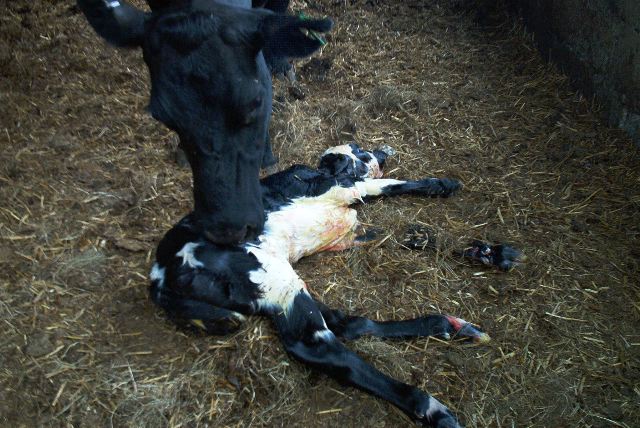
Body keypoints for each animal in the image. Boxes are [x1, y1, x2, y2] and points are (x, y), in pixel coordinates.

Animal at [148, 143, 519, 427]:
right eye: (360, 149)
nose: (383, 149)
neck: (322, 174)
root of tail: (159, 274)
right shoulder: (348, 189)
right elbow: (393, 184)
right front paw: (442, 183)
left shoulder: (352, 233)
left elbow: (416, 237)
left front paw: (492, 253)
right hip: (275, 282)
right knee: (319, 345)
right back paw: (429, 406)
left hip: (277, 286)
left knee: (348, 324)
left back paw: (449, 326)